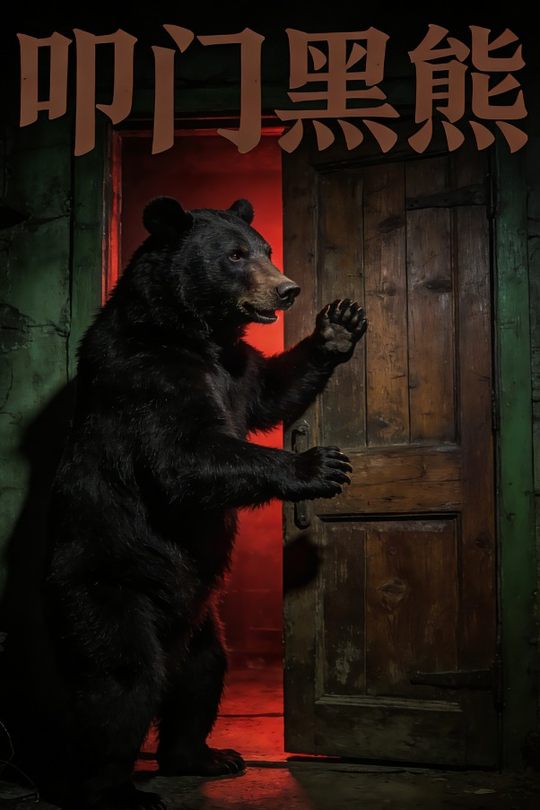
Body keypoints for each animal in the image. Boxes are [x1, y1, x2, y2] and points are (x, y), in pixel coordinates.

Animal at [39, 196, 367, 810]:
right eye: (235, 255)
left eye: (263, 247)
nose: (286, 289)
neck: (194, 334)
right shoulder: (148, 375)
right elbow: (184, 458)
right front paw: (318, 465)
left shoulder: (237, 369)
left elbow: (272, 390)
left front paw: (339, 325)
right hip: (106, 585)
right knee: (121, 683)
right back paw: (117, 791)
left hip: (199, 618)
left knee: (202, 674)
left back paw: (207, 756)